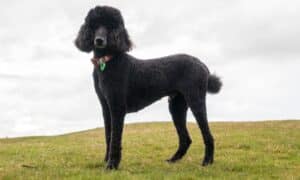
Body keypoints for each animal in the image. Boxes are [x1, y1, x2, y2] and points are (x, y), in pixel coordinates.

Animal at [74, 5, 221, 169]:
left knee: (208, 135)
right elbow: (108, 135)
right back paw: (173, 160)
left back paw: (207, 161)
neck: (107, 61)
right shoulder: (106, 107)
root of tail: (202, 64)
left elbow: (115, 138)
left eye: (110, 26)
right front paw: (107, 161)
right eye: (94, 25)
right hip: (176, 105)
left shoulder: (117, 106)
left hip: (195, 99)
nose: (99, 40)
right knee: (185, 139)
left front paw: (112, 165)